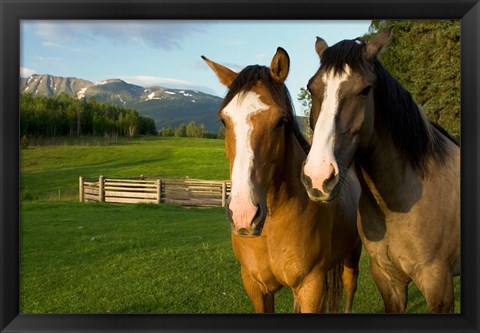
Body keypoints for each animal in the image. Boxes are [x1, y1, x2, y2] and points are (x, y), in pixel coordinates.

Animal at [201, 48, 362, 312]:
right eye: (224, 120)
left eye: (280, 121)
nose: (244, 214)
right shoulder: (256, 287)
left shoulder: (311, 287)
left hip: (352, 255)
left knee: (350, 289)